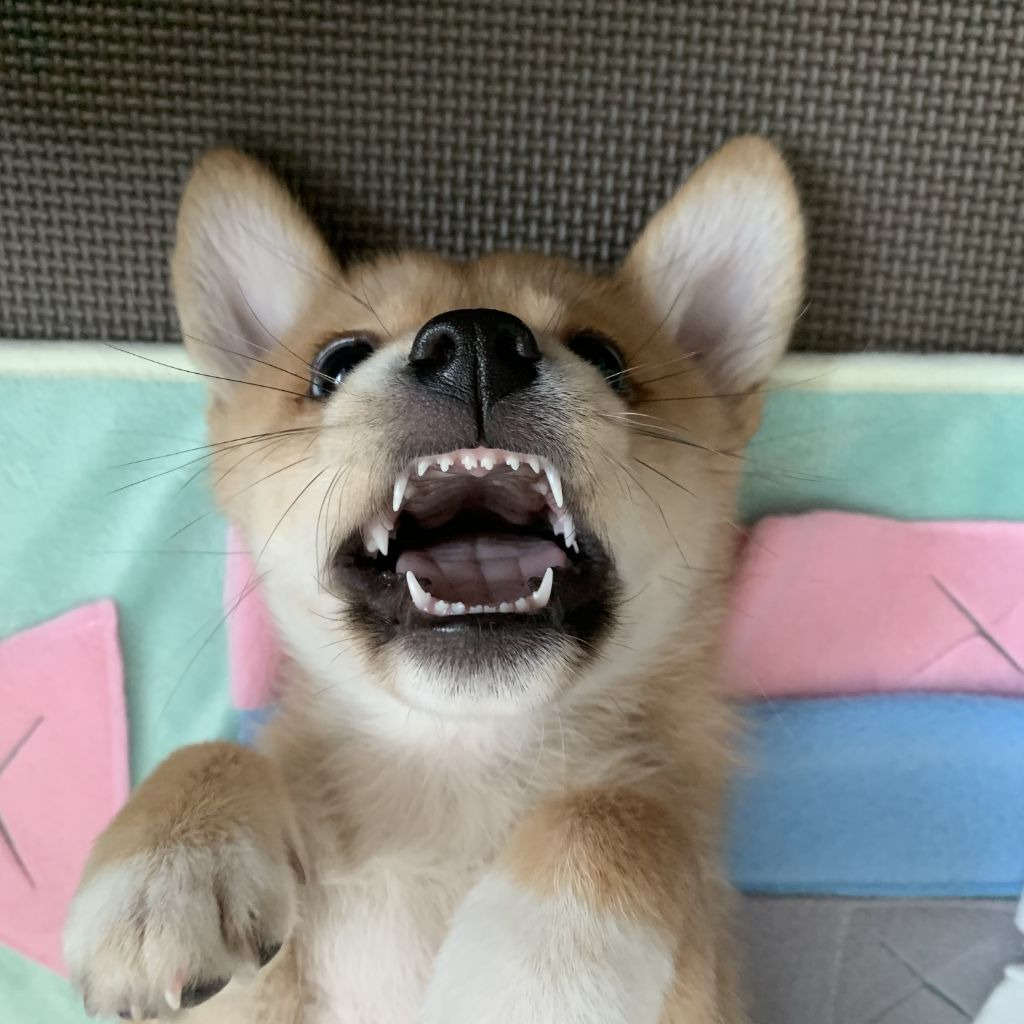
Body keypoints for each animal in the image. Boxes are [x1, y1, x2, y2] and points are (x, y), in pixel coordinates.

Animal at [63, 136, 805, 1023]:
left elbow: (613, 813)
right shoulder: (248, 1002)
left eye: (607, 358)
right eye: (334, 362)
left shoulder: (700, 974)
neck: (459, 762)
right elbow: (217, 749)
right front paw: (163, 865)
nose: (478, 342)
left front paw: (543, 973)